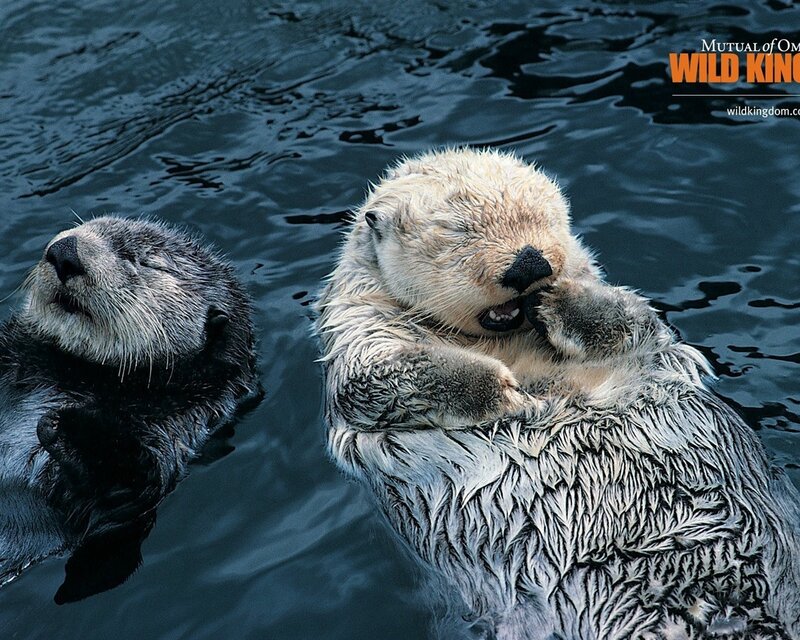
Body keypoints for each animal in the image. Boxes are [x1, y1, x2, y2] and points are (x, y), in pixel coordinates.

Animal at [0, 216, 258, 603]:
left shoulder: (171, 434)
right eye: (86, 226)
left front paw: (69, 426)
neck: (78, 374)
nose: (64, 251)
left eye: (144, 261)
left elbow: (125, 491)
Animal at [316, 148, 800, 639]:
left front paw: (556, 302)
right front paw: (506, 393)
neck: (506, 343)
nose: (530, 265)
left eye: (543, 217)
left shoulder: (643, 335)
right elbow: (377, 379)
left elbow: (633, 320)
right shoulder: (360, 334)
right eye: (458, 231)